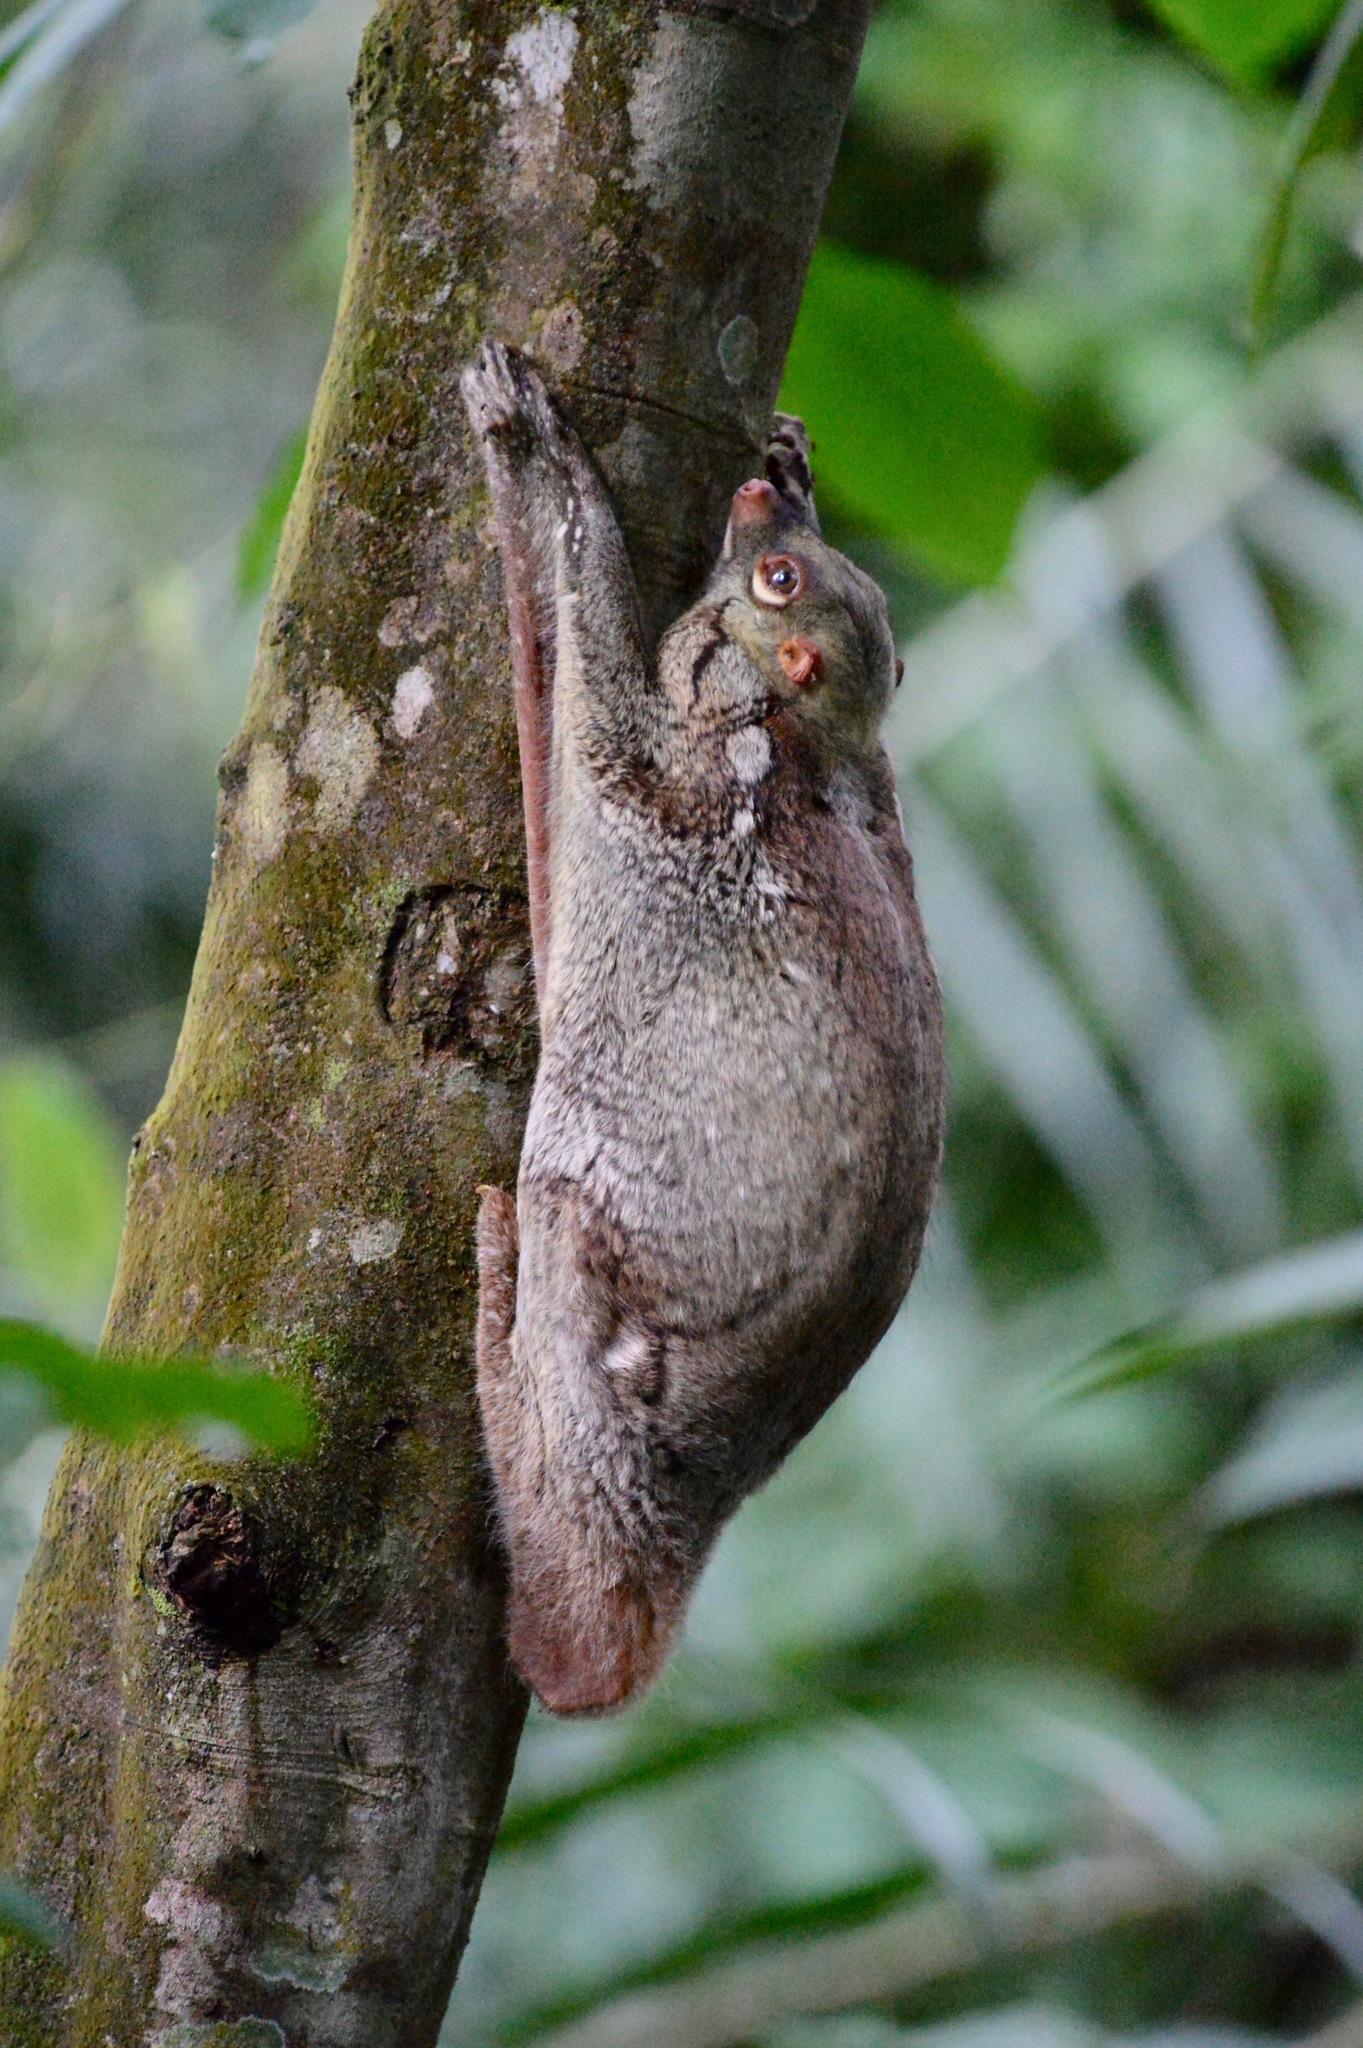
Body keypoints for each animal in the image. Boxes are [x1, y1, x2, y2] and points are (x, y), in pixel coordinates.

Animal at [461, 341, 945, 1717]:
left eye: (778, 583)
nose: (761, 507)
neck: (797, 750)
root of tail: (702, 1495)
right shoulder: (870, 779)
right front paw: (794, 460)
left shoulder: (662, 785)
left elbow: (590, 692)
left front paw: (538, 467)